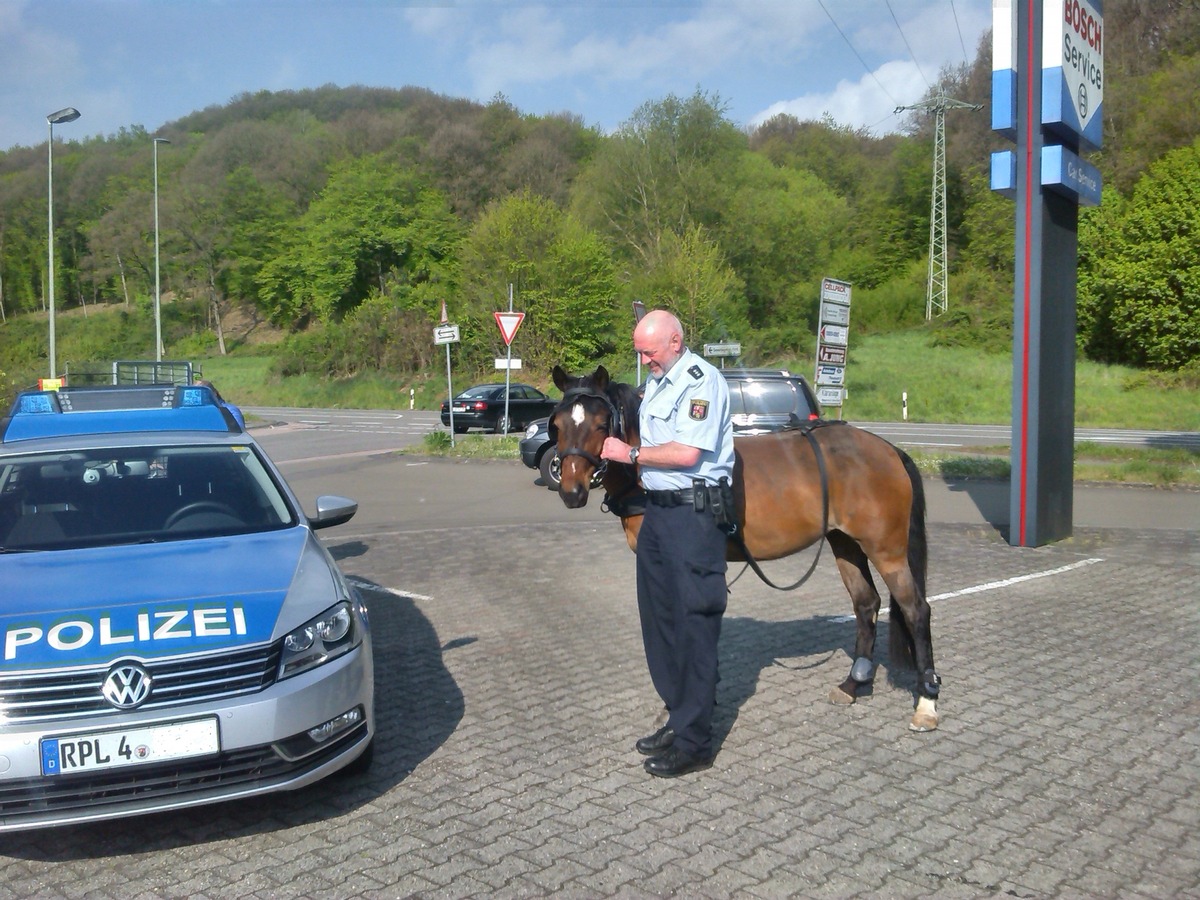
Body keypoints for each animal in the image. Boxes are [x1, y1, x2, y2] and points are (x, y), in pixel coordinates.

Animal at [549, 364, 940, 734]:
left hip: (886, 549)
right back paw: (853, 685)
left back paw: (926, 702)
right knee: (866, 603)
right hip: (845, 543)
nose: (571, 491)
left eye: (602, 424)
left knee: (916, 610)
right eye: (557, 424)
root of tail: (889, 449)